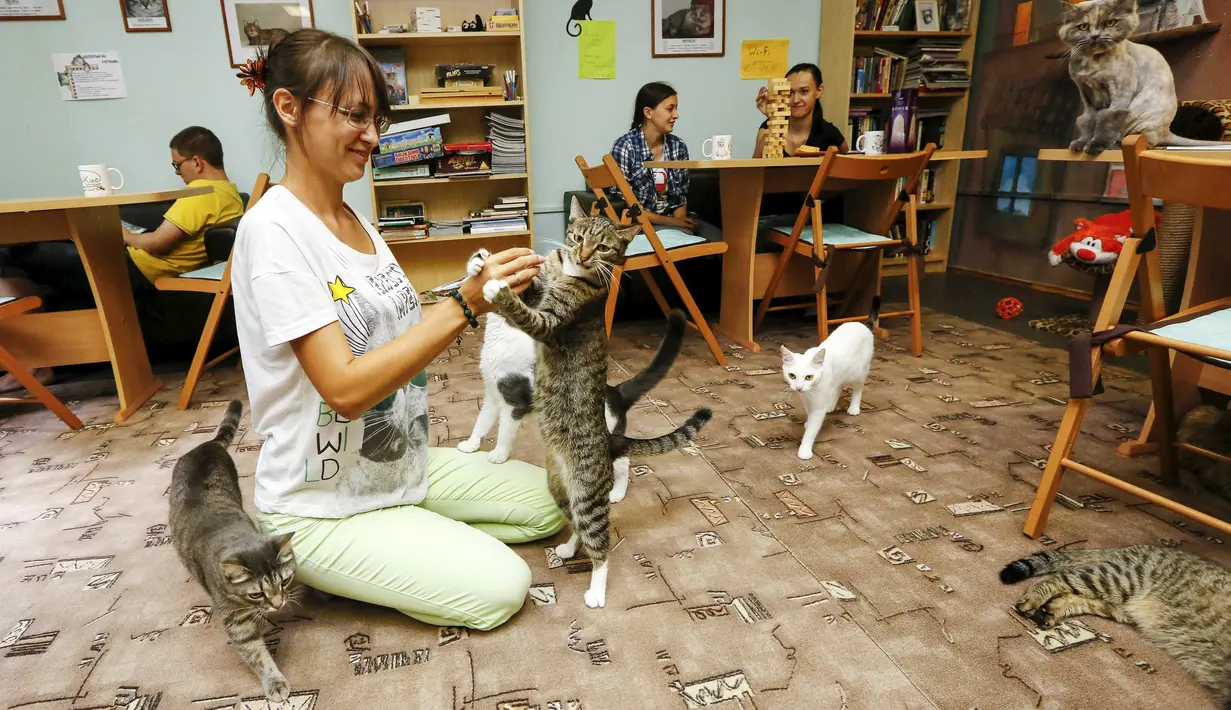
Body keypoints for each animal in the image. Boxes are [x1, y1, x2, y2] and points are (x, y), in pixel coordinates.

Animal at [169, 401, 299, 698]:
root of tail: (207, 444)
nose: (278, 604)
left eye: (285, 581)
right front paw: (274, 681)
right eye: (256, 594)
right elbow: (255, 653)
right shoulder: (235, 620)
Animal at [480, 196, 713, 605]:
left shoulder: (550, 321)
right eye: (577, 237)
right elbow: (531, 290)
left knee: (600, 542)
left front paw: (497, 287)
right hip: (559, 489)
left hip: (588, 493)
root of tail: (608, 440)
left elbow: (523, 312)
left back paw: (596, 590)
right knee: (576, 524)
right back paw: (569, 548)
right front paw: (483, 261)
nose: (583, 254)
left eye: (603, 247)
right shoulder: (542, 292)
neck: (569, 272)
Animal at [777, 297, 876, 460]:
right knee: (838, 385)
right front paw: (808, 422)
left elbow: (812, 428)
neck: (811, 392)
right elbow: (809, 413)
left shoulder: (817, 405)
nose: (799, 388)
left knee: (858, 387)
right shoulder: (807, 399)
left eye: (809, 377)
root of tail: (862, 324)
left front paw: (805, 449)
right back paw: (830, 405)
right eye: (792, 376)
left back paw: (854, 407)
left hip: (859, 371)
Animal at [999, 541, 1231, 703]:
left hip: (1119, 603)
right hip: (1117, 579)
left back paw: (1052, 611)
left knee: (1078, 598)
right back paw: (1033, 600)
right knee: (1059, 577)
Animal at [1058, 0, 1221, 153]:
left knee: (1145, 140)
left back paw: (1116, 146)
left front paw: (1096, 145)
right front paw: (1081, 143)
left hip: (1139, 114)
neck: (1091, 62)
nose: (1095, 36)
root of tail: (1167, 130)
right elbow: (1088, 121)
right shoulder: (1086, 95)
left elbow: (1106, 118)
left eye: (1110, 23)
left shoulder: (1120, 91)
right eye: (1084, 27)